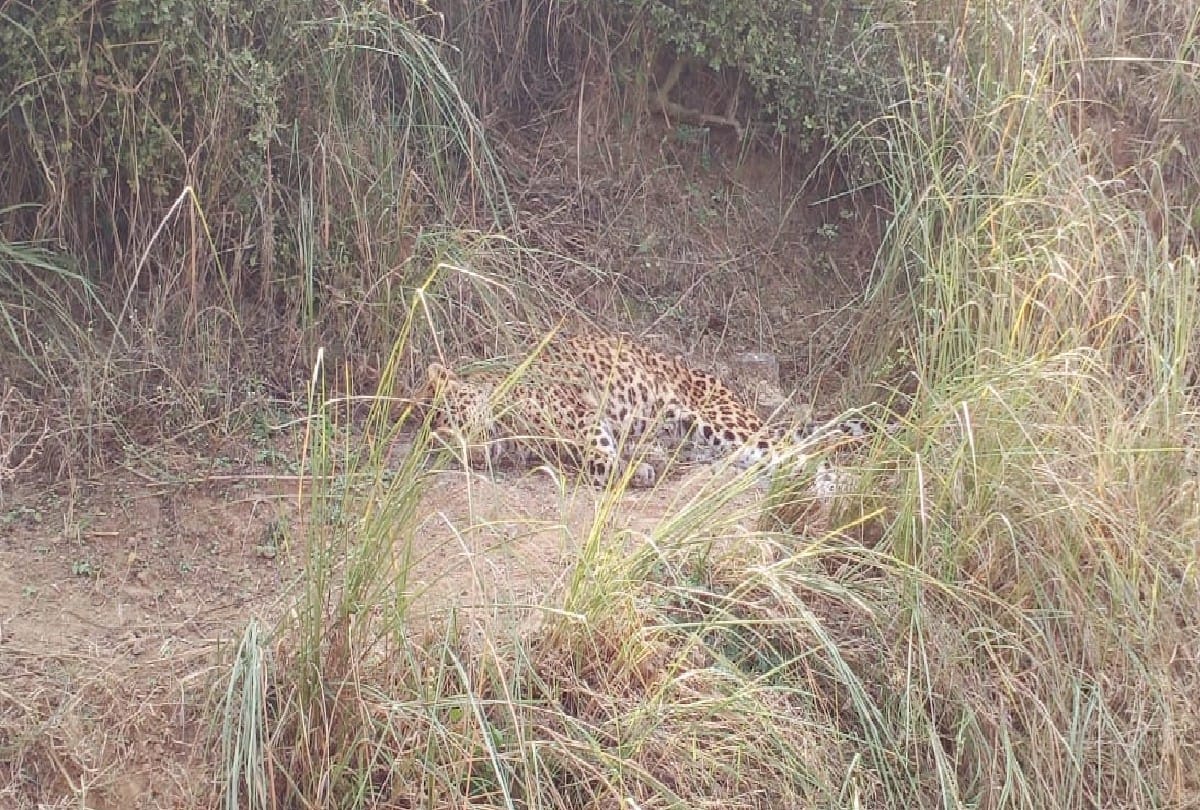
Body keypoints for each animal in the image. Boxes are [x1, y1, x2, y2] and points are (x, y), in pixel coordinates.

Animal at [421, 331, 880, 489]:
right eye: (440, 447)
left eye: (455, 420)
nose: (472, 456)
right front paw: (636, 466)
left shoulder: (580, 412)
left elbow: (596, 453)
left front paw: (622, 470)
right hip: (709, 444)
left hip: (723, 423)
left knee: (804, 454)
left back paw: (846, 485)